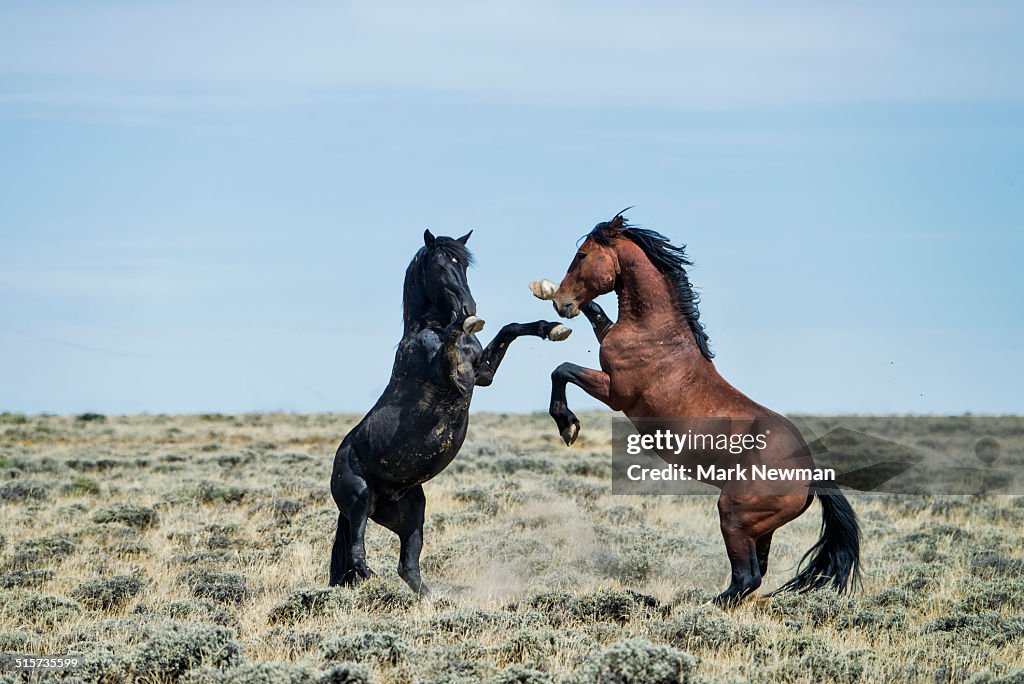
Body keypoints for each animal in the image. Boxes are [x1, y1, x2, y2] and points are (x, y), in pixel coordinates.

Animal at [327, 229, 569, 593]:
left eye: (465, 264)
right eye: (441, 265)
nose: (470, 306)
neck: (426, 331)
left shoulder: (482, 375)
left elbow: (510, 329)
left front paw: (552, 328)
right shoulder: (455, 377)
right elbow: (456, 334)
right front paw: (467, 321)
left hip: (411, 513)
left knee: (408, 568)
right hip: (358, 498)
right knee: (358, 555)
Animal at [532, 211, 860, 602]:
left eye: (582, 255)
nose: (561, 303)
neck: (656, 333)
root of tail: (811, 474)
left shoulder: (615, 392)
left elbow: (561, 370)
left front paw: (567, 425)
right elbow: (595, 315)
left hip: (734, 515)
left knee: (746, 577)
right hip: (760, 528)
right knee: (753, 575)